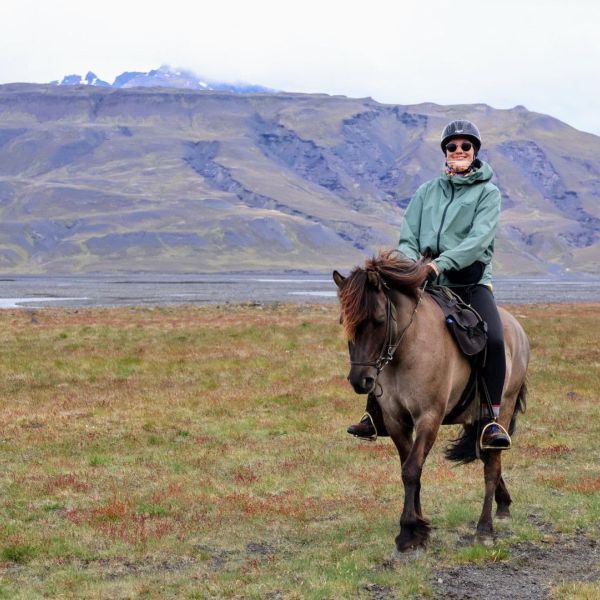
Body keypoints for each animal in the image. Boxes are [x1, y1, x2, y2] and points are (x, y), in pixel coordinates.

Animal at [332, 250, 528, 552]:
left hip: (502, 410)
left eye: (379, 320)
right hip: (475, 416)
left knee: (492, 464)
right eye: (345, 323)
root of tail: (518, 329)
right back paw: (503, 503)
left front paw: (409, 531)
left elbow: (412, 469)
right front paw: (419, 526)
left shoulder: (429, 417)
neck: (407, 348)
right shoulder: (396, 420)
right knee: (484, 455)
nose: (360, 381)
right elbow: (409, 469)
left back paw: (484, 529)